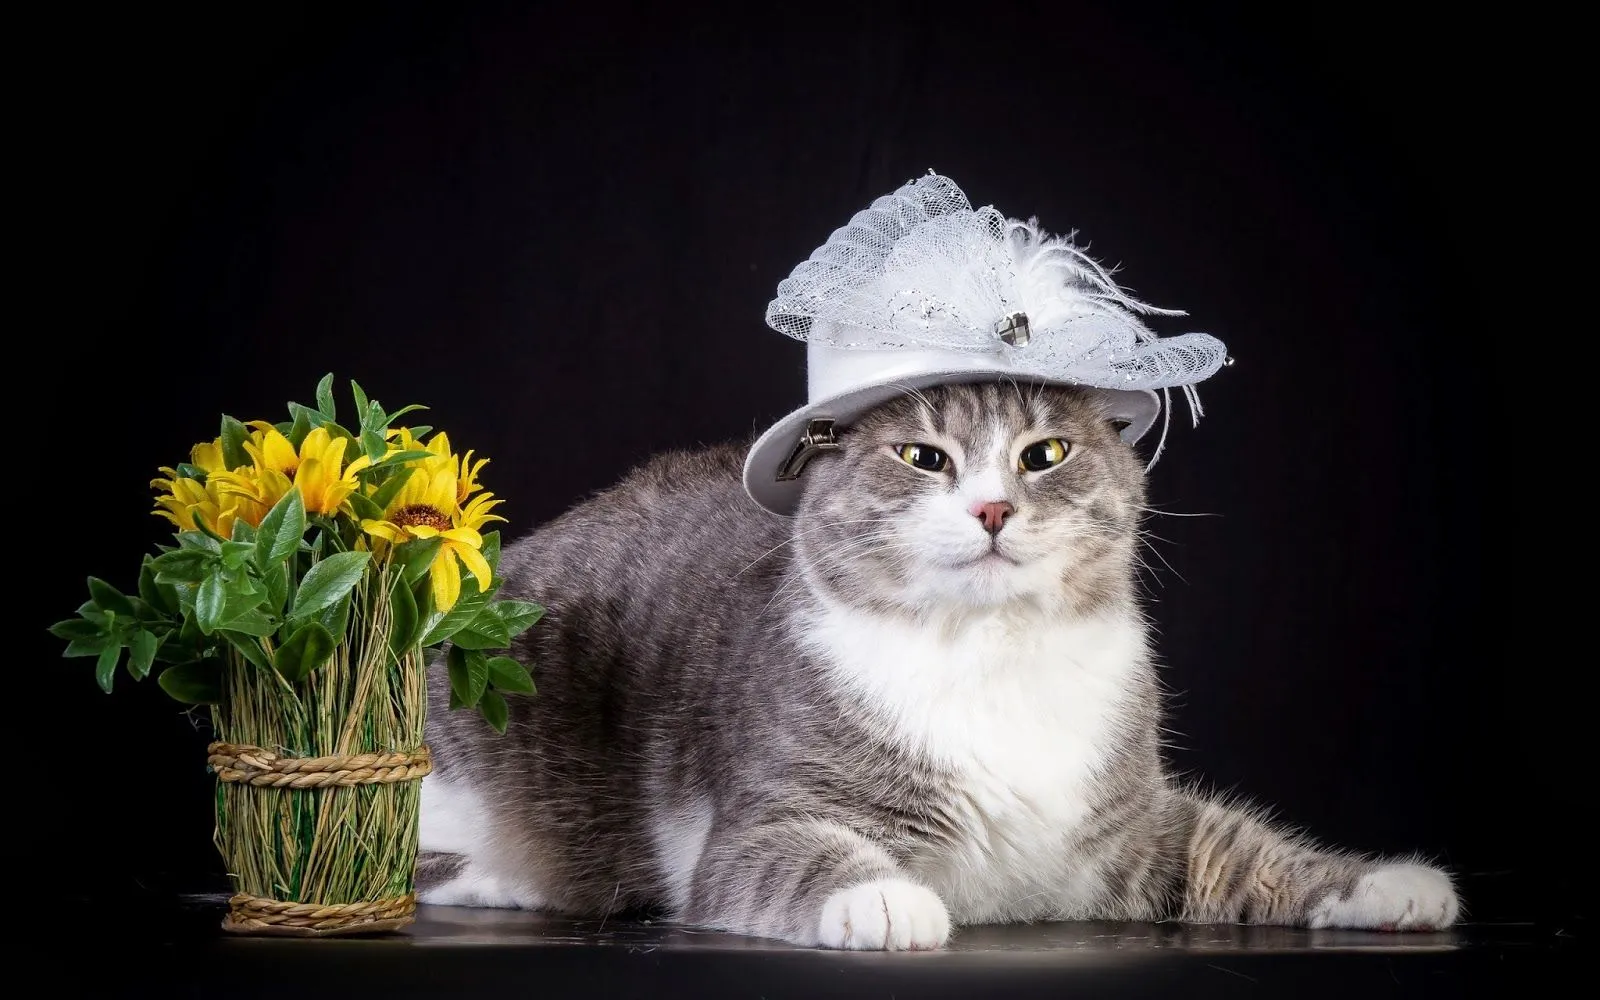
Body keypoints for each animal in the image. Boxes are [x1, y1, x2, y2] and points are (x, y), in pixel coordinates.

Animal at [416, 377, 1465, 947]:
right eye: (922, 457)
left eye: (1046, 452)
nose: (994, 507)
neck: (988, 656)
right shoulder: (762, 819)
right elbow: (790, 857)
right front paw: (883, 898)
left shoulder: (1128, 825)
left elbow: (1238, 847)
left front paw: (1384, 885)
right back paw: (506, 878)